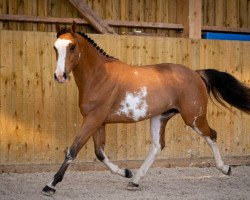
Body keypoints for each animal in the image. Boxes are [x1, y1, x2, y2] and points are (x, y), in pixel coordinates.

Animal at [42, 22, 249, 195]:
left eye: (72, 46)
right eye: (55, 47)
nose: (59, 76)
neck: (100, 77)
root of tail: (196, 74)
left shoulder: (93, 120)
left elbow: (73, 150)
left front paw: (50, 185)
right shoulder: (98, 122)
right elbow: (99, 154)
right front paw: (125, 172)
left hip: (194, 118)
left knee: (212, 135)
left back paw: (226, 168)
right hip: (160, 117)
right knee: (157, 146)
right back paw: (134, 180)